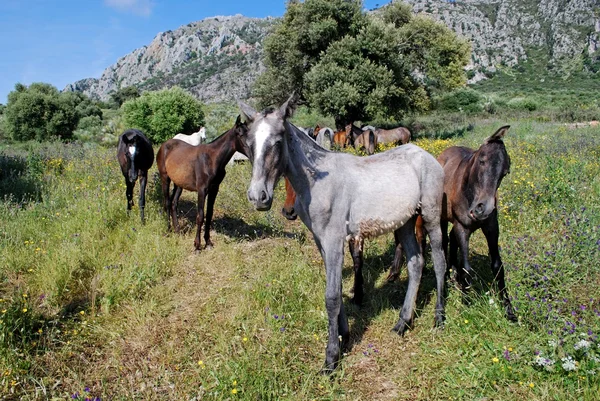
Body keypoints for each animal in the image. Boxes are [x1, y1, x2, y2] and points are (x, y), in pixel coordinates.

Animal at [157, 115, 248, 252]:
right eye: (241, 134)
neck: (212, 159)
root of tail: (164, 145)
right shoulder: (202, 190)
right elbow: (200, 216)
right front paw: (197, 245)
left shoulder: (214, 189)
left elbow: (209, 215)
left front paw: (208, 242)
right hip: (165, 178)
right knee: (167, 202)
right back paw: (168, 230)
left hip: (179, 184)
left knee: (173, 203)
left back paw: (177, 230)